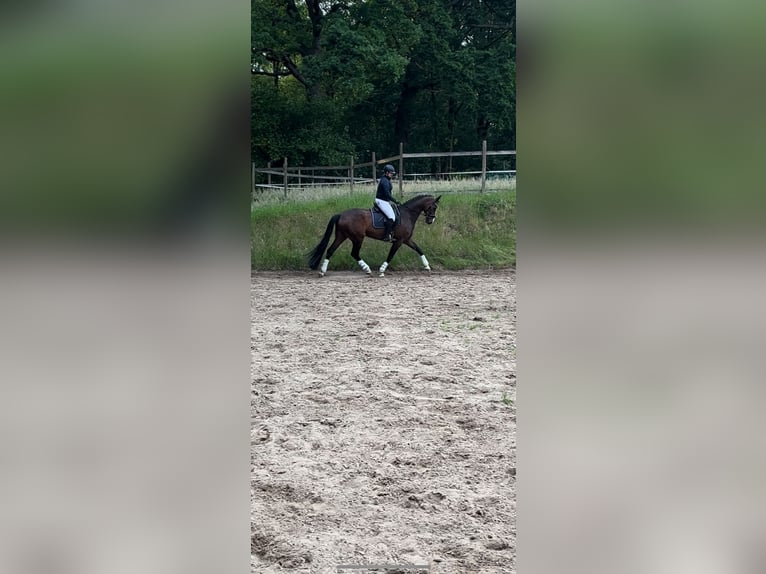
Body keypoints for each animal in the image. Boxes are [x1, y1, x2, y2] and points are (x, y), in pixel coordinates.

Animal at [308, 195, 440, 280]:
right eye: (433, 207)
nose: (431, 221)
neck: (407, 214)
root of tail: (341, 214)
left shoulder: (406, 240)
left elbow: (419, 249)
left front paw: (427, 266)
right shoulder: (399, 241)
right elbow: (391, 255)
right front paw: (381, 271)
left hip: (342, 236)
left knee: (330, 250)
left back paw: (322, 272)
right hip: (358, 238)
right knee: (354, 253)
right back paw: (367, 269)